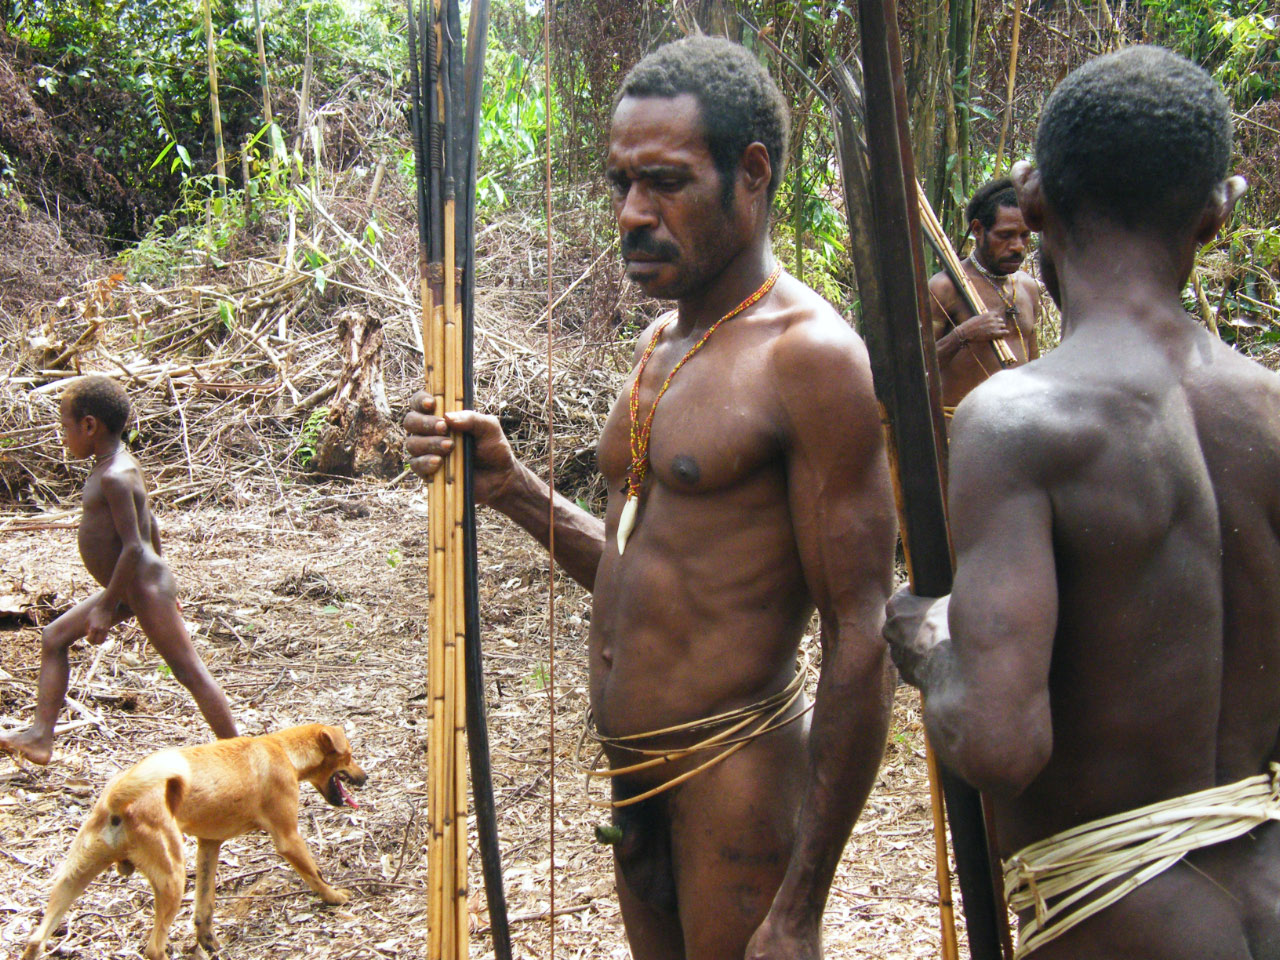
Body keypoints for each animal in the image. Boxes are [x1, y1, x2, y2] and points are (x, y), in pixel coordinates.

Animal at [22, 724, 366, 960]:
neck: (284, 751)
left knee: (36, 939)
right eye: (349, 756)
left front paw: (207, 941)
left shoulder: (209, 845)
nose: (365, 778)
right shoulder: (288, 838)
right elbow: (315, 874)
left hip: (73, 878)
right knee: (154, 948)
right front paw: (335, 897)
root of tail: (118, 799)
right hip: (172, 878)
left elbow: (205, 905)